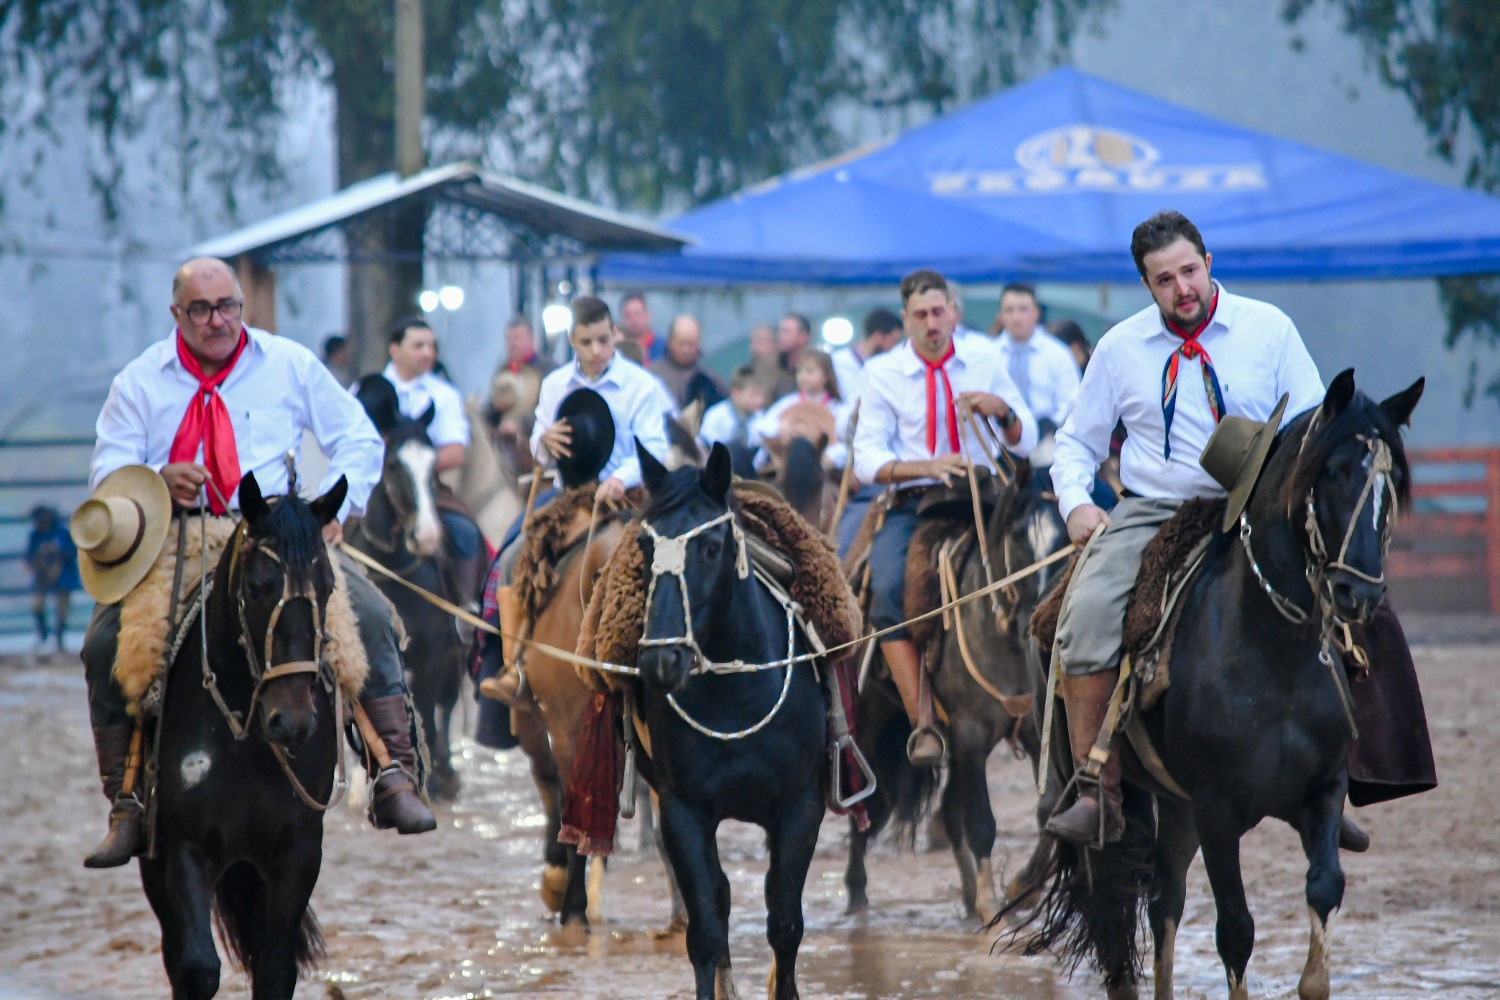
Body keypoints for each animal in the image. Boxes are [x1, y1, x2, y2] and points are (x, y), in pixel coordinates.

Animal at [351, 379, 468, 803]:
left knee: (447, 705)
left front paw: (431, 780)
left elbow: (432, 714)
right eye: (394, 465)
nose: (428, 536)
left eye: (433, 467)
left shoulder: (434, 656)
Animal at [636, 443, 834, 1000]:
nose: (661, 660)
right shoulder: (682, 811)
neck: (737, 692)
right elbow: (706, 929)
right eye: (644, 547)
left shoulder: (800, 807)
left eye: (710, 548)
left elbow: (785, 924)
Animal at [852, 464, 1074, 929]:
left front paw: (1019, 889)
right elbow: (980, 822)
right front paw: (994, 903)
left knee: (948, 814)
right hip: (869, 721)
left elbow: (1047, 809)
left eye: (1063, 536)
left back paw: (970, 895)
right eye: (1016, 535)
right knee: (864, 803)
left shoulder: (1031, 731)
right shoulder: (970, 738)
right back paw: (857, 893)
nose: (1034, 618)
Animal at [1014, 370, 1422, 1000]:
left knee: (1164, 902)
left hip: (1175, 804)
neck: (1273, 652)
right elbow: (1235, 928)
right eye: (1333, 471)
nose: (1361, 594)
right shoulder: (1217, 808)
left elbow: (1324, 888)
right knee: (1115, 908)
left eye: (1392, 483)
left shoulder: (1322, 790)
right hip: (1110, 802)